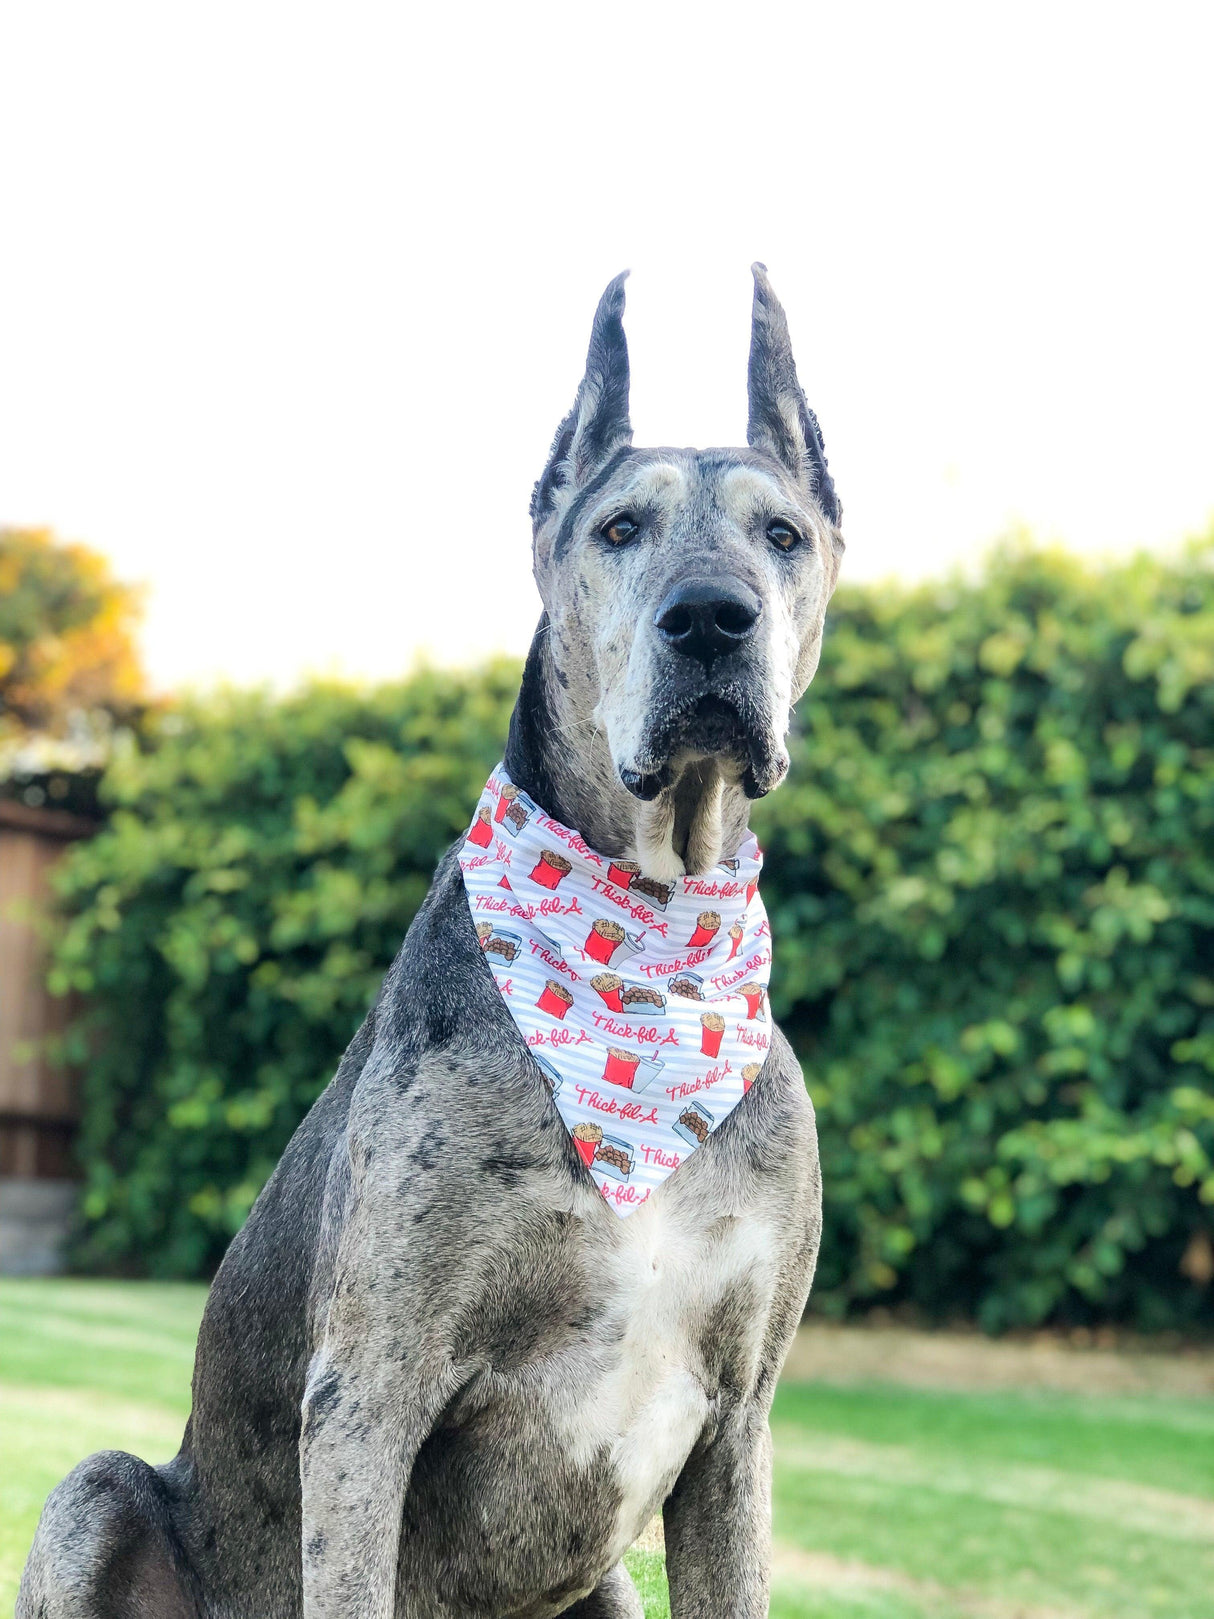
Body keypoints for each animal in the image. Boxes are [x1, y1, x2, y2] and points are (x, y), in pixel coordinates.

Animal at [23, 268, 848, 1619]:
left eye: (780, 535)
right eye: (618, 528)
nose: (710, 618)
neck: (646, 951)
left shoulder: (737, 1428)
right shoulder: (370, 1395)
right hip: (94, 1488)